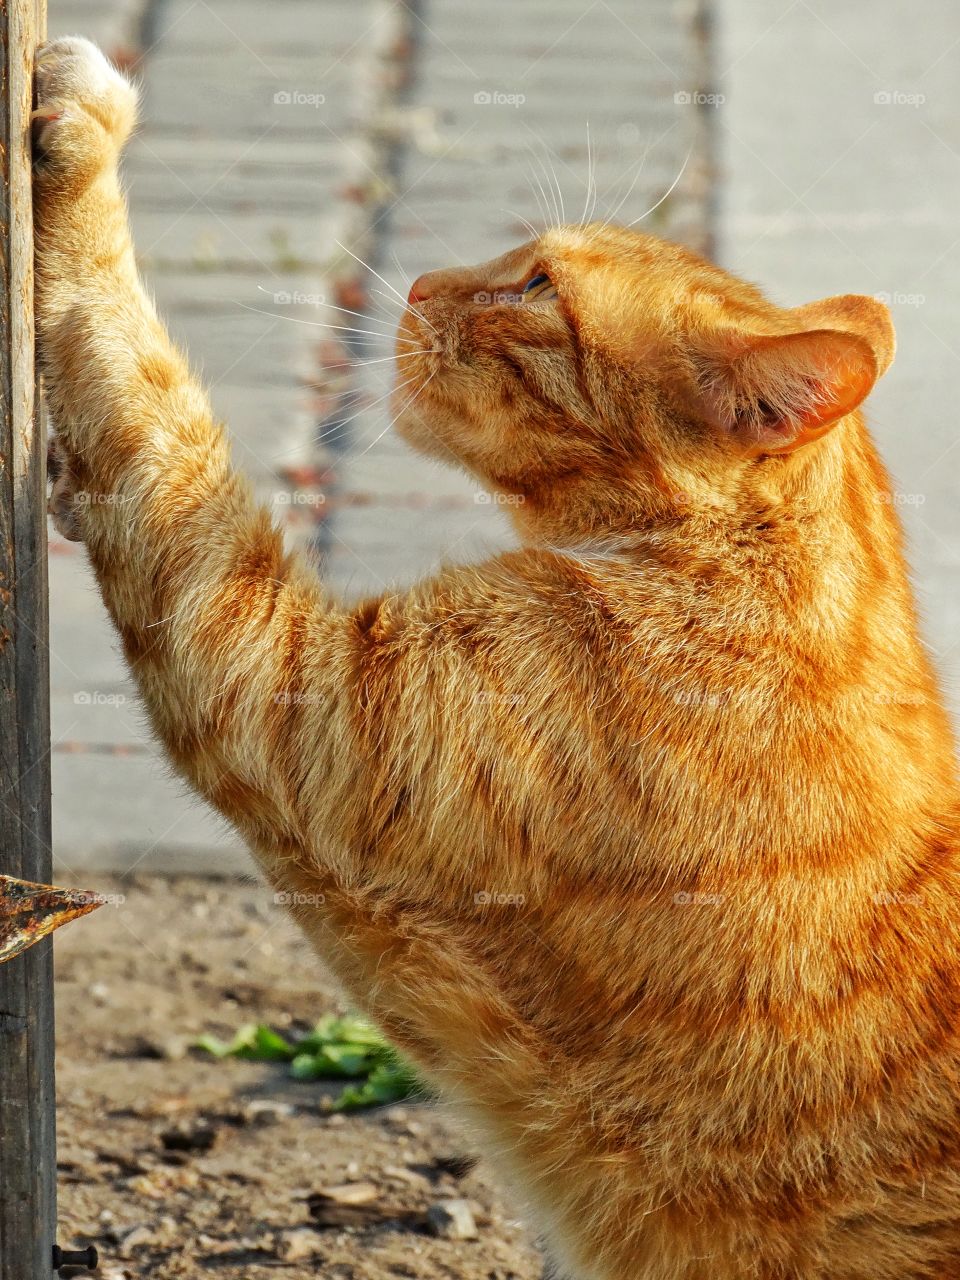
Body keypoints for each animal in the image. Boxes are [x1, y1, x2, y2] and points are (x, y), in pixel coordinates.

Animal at [33, 35, 960, 1280]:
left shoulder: (283, 677)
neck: (743, 564)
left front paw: (85, 134)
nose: (425, 280)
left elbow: (139, 394)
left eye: (537, 291)